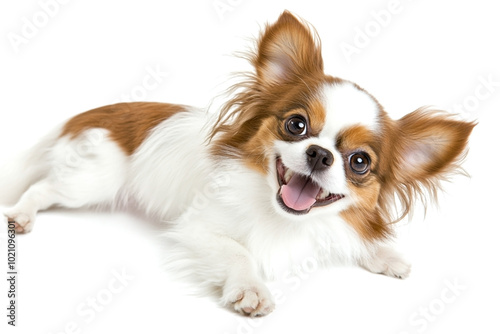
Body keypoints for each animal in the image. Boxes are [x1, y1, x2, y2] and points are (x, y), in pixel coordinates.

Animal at [0, 11, 476, 318]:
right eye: (296, 125)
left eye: (359, 162)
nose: (320, 153)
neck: (283, 215)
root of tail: (96, 113)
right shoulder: (199, 229)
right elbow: (239, 252)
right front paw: (250, 289)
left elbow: (355, 238)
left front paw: (385, 255)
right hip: (91, 183)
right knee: (43, 188)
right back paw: (22, 215)